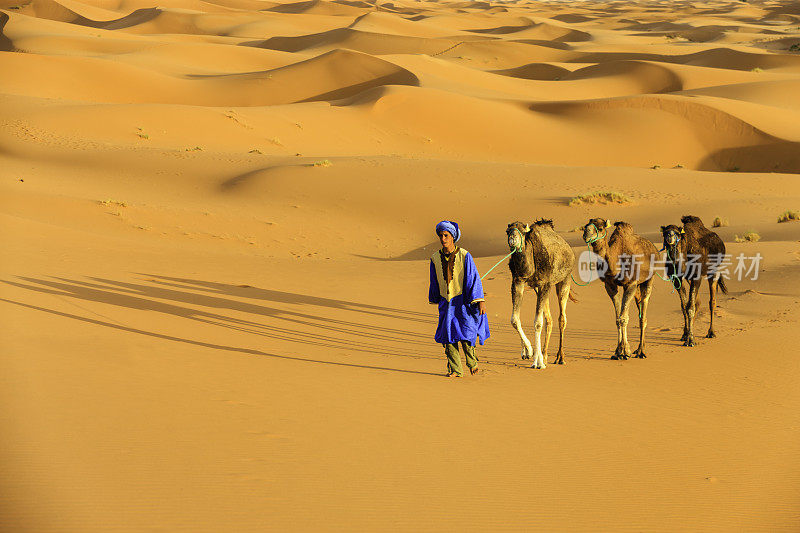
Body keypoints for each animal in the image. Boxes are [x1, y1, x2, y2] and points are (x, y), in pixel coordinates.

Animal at [506, 218, 576, 368]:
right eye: (507, 231)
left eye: (522, 231)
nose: (513, 238)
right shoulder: (518, 281)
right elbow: (515, 319)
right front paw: (528, 351)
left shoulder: (545, 283)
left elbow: (538, 322)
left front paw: (537, 362)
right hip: (539, 288)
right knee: (549, 319)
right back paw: (545, 355)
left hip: (565, 279)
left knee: (562, 318)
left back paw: (560, 357)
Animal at [580, 218, 656, 360]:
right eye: (586, 226)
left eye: (600, 228)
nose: (586, 234)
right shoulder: (609, 285)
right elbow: (618, 318)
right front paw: (618, 352)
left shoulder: (630, 283)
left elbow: (623, 318)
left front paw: (625, 351)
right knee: (639, 305)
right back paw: (638, 349)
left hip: (649, 278)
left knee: (644, 309)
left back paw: (641, 351)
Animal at [660, 213, 728, 344]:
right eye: (665, 232)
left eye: (677, 233)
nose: (670, 236)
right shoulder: (677, 279)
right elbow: (684, 306)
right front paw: (686, 334)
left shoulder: (696, 276)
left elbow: (690, 307)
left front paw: (691, 340)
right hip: (690, 278)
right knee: (697, 302)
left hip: (713, 271)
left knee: (712, 301)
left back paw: (711, 332)